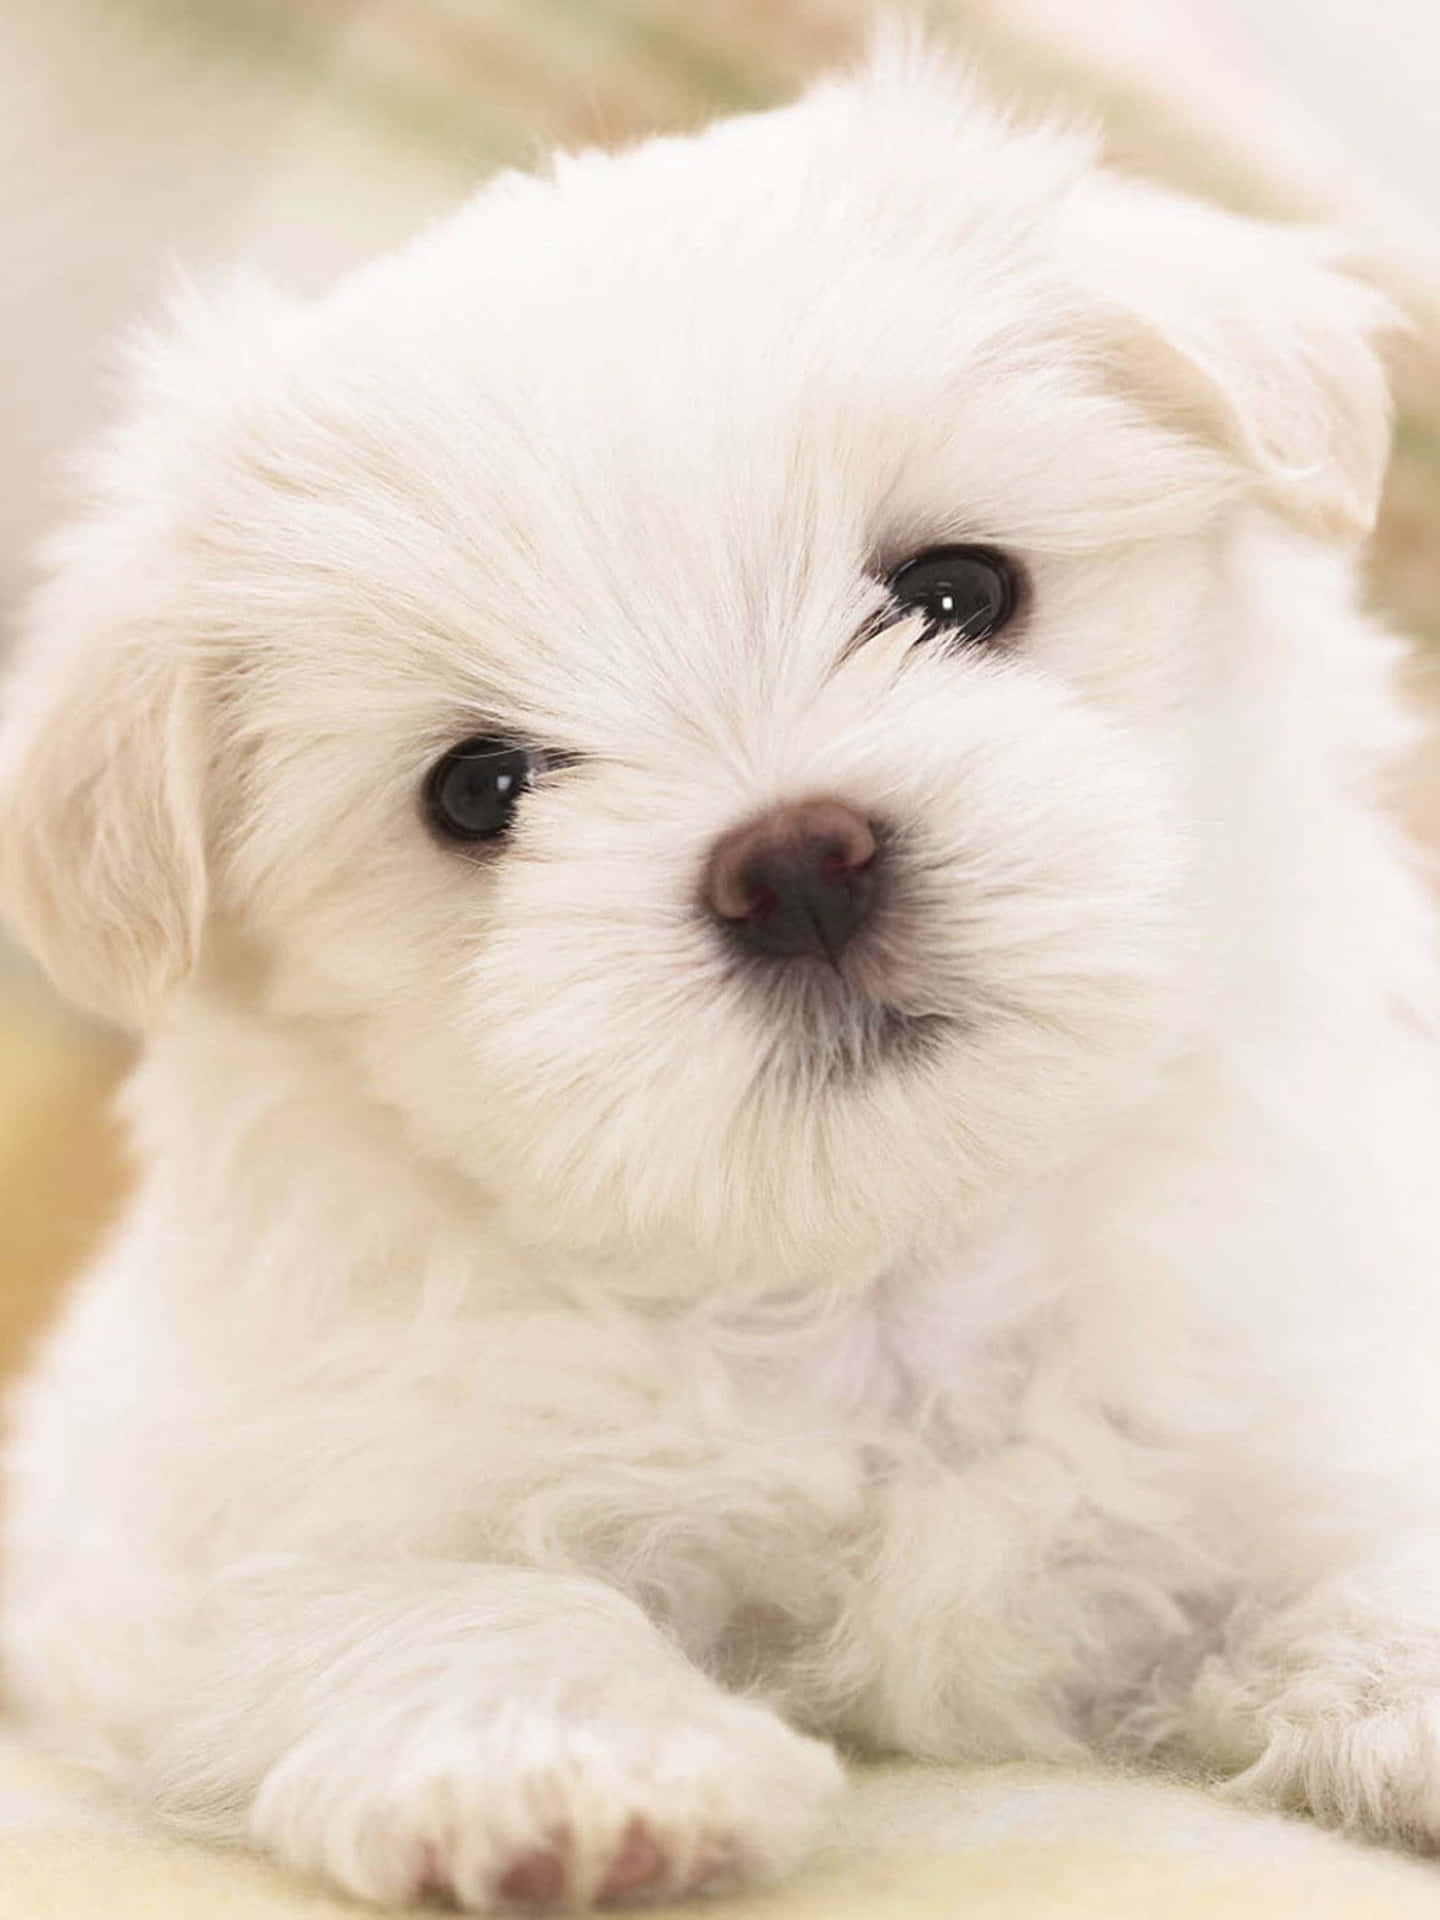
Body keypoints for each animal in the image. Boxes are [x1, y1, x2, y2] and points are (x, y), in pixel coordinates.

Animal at [2, 37, 1440, 1912]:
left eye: (958, 591)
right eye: (480, 789)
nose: (796, 862)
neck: (875, 1270)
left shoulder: (1303, 1377)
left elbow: (1364, 1541)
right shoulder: (193, 1528)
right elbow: (420, 1589)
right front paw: (566, 1766)